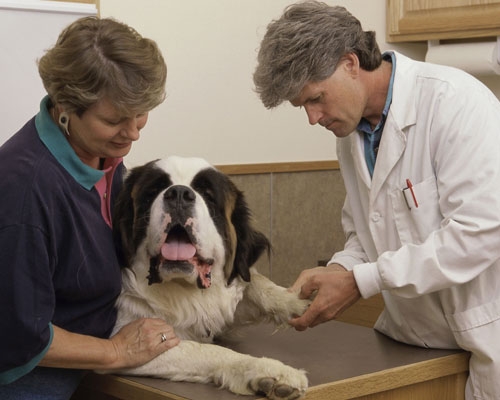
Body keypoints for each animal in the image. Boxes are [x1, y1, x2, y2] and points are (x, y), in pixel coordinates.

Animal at [110, 156, 308, 400]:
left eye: (208, 196)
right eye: (153, 191)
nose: (178, 193)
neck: (182, 291)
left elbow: (252, 281)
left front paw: (299, 300)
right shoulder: (130, 338)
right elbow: (208, 350)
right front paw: (269, 371)